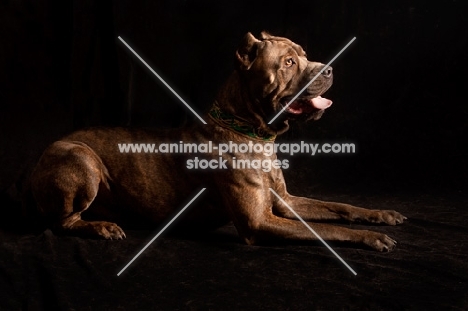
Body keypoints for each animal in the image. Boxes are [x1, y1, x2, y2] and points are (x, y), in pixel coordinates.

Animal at [28, 31, 406, 252]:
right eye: (288, 62)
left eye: (304, 53)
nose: (329, 69)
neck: (253, 134)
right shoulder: (258, 221)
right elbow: (323, 229)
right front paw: (370, 238)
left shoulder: (285, 202)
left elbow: (339, 207)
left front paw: (380, 214)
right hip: (82, 159)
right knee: (63, 222)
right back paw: (103, 228)